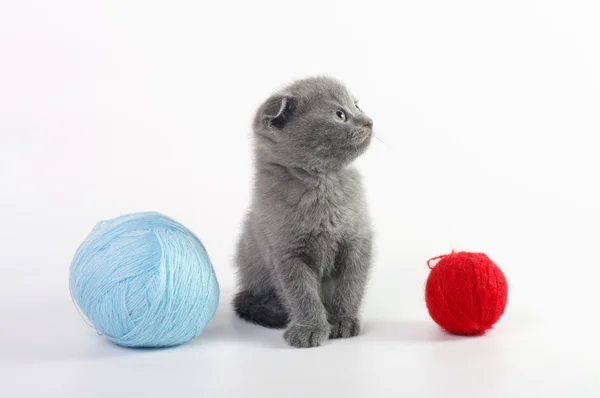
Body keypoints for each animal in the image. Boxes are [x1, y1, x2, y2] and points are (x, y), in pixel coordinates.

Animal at [232, 76, 372, 346]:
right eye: (340, 115)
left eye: (357, 106)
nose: (369, 121)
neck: (323, 184)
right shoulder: (287, 254)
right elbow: (302, 294)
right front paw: (310, 328)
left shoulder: (357, 242)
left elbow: (350, 284)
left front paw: (343, 321)